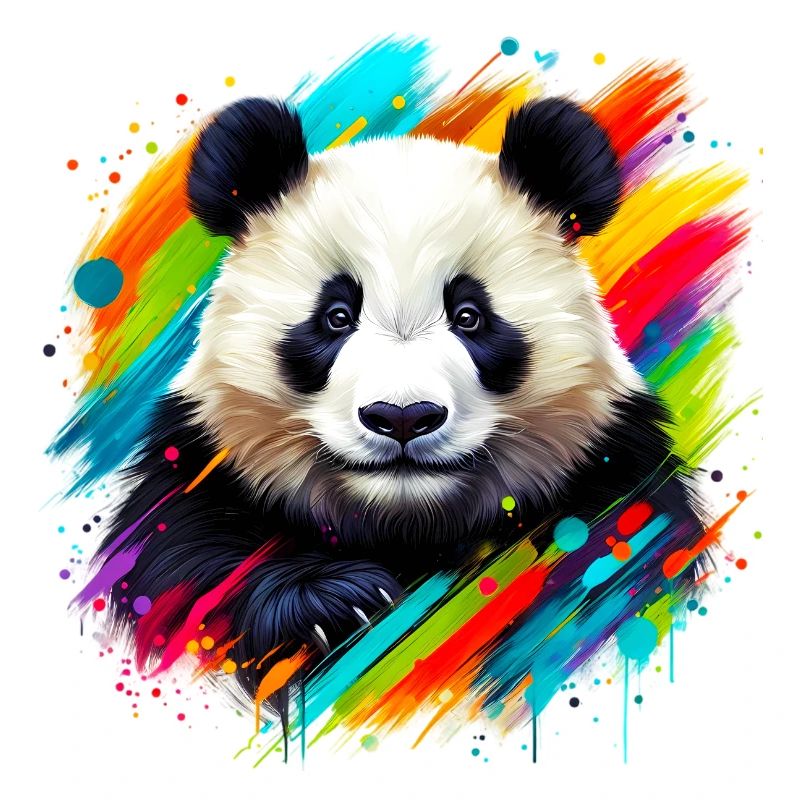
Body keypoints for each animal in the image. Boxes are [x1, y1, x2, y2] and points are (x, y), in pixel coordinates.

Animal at [99, 95, 703, 711]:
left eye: (470, 316)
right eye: (336, 316)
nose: (403, 417)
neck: (407, 526)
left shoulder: (613, 465)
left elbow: (624, 555)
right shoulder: (201, 468)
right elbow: (182, 566)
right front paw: (336, 604)